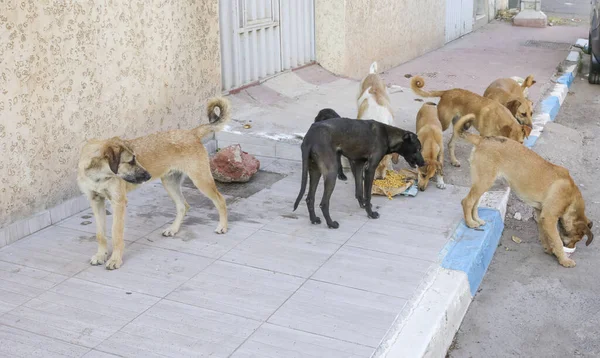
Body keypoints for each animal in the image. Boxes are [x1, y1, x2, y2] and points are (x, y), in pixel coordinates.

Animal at [76, 96, 231, 270]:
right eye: (130, 161)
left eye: (135, 158)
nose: (148, 175)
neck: (98, 176)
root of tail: (191, 133)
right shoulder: (96, 201)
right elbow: (100, 234)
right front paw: (101, 255)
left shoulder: (118, 203)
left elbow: (116, 233)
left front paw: (115, 260)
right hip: (170, 183)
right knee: (183, 206)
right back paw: (173, 229)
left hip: (201, 180)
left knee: (220, 200)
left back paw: (222, 226)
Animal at [292, 113, 424, 228]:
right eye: (418, 148)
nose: (424, 163)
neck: (387, 135)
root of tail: (309, 137)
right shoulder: (370, 168)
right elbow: (368, 194)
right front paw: (370, 213)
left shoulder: (358, 165)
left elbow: (359, 191)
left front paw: (363, 205)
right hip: (331, 173)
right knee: (324, 203)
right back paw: (331, 224)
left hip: (315, 171)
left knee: (310, 198)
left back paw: (314, 219)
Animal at [454, 113, 592, 268]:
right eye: (578, 238)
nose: (571, 247)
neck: (571, 198)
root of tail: (482, 139)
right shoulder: (549, 218)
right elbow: (556, 239)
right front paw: (564, 259)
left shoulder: (541, 214)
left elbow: (545, 235)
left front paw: (549, 249)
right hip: (483, 182)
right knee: (466, 201)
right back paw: (470, 223)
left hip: (483, 182)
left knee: (474, 202)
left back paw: (476, 219)